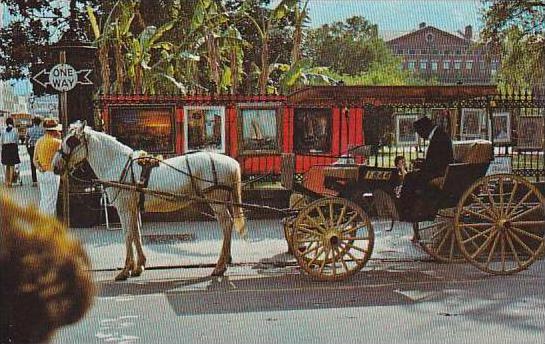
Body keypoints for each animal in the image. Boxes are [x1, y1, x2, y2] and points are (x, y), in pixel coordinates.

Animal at [52, 122, 244, 280]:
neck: (117, 164)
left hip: (217, 201)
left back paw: (220, 266)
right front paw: (139, 266)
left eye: (71, 141)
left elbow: (128, 235)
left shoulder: (124, 208)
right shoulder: (132, 208)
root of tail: (231, 162)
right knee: (228, 224)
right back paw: (225, 262)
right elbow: (136, 233)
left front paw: (125, 270)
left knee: (227, 224)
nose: (55, 166)